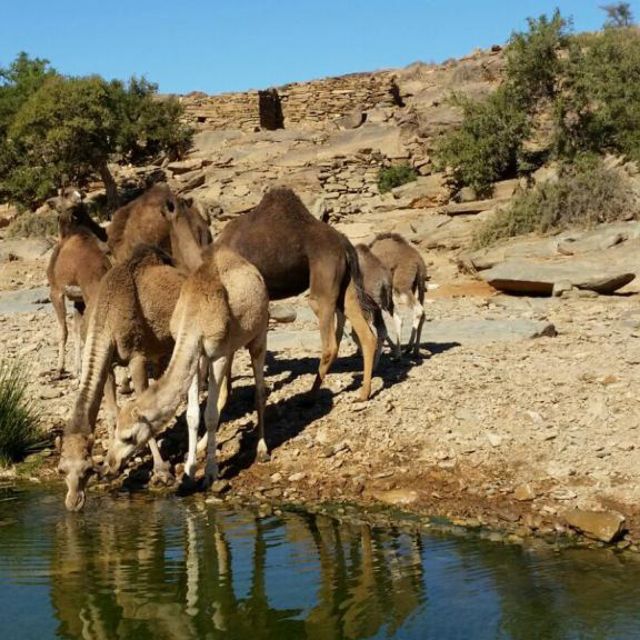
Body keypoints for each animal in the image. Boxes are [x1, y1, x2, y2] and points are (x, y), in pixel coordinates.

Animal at [47, 186, 112, 376]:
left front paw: (59, 369)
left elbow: (64, 331)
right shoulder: (78, 300)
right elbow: (76, 331)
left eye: (63, 194)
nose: (49, 202)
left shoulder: (56, 291)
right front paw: (77, 369)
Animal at [104, 245, 268, 490]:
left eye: (129, 437)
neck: (194, 315)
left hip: (259, 333)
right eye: (115, 430)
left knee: (259, 389)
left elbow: (210, 414)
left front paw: (210, 472)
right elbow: (192, 414)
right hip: (230, 346)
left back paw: (262, 449)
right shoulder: (195, 354)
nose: (109, 464)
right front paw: (189, 471)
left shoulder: (216, 354)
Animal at [215, 188, 378, 402]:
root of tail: (344, 242)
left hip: (323, 283)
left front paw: (225, 397)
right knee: (366, 334)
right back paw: (363, 393)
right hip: (347, 287)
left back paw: (310, 396)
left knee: (330, 343)